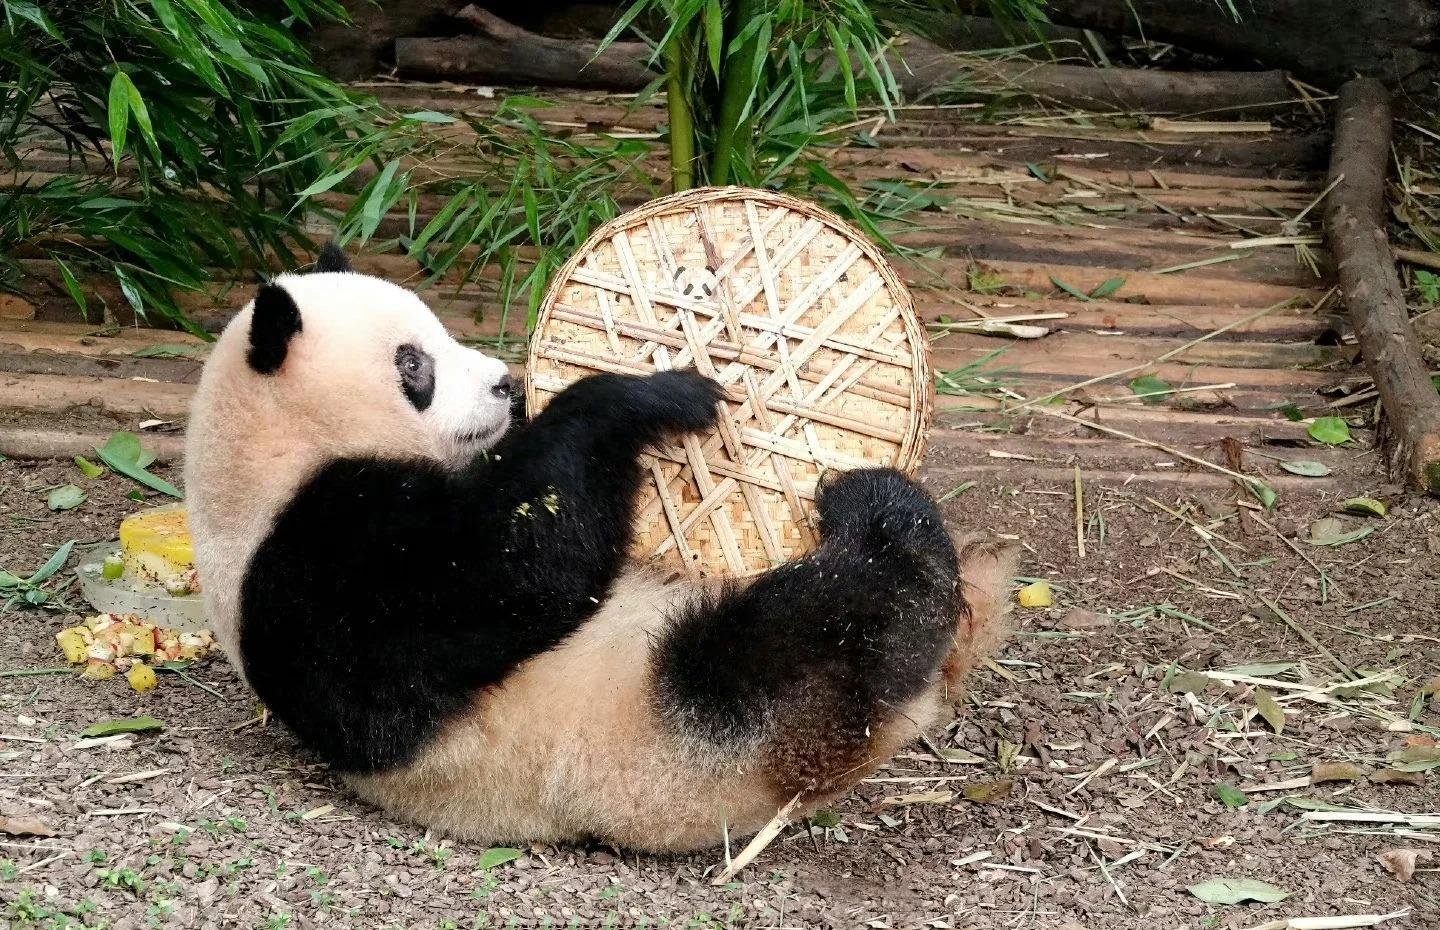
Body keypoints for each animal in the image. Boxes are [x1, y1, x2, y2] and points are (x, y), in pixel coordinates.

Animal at [184, 244, 1017, 853]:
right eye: (412, 363)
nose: (505, 384)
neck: (265, 453)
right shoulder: (318, 560)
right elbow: (513, 565)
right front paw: (647, 395)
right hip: (689, 724)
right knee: (807, 639)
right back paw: (884, 520)